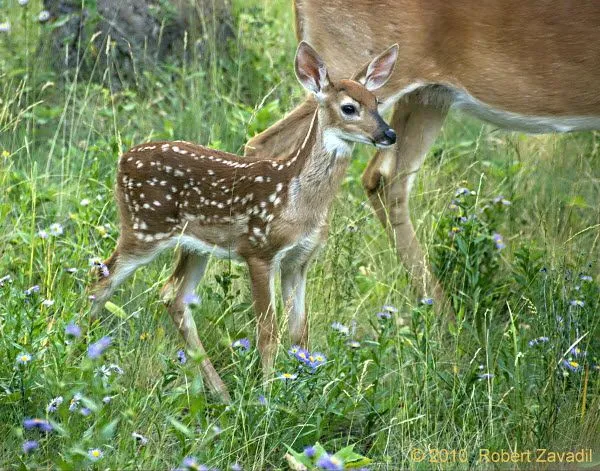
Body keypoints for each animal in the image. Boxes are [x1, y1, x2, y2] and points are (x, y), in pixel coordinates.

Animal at [90, 41, 398, 402]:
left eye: (377, 102)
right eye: (349, 108)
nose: (388, 134)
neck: (297, 200)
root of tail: (122, 160)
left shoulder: (299, 260)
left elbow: (300, 334)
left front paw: (305, 393)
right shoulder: (259, 250)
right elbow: (268, 331)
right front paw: (267, 397)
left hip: (194, 247)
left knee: (172, 296)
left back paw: (220, 392)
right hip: (144, 227)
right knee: (100, 280)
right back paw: (79, 354)